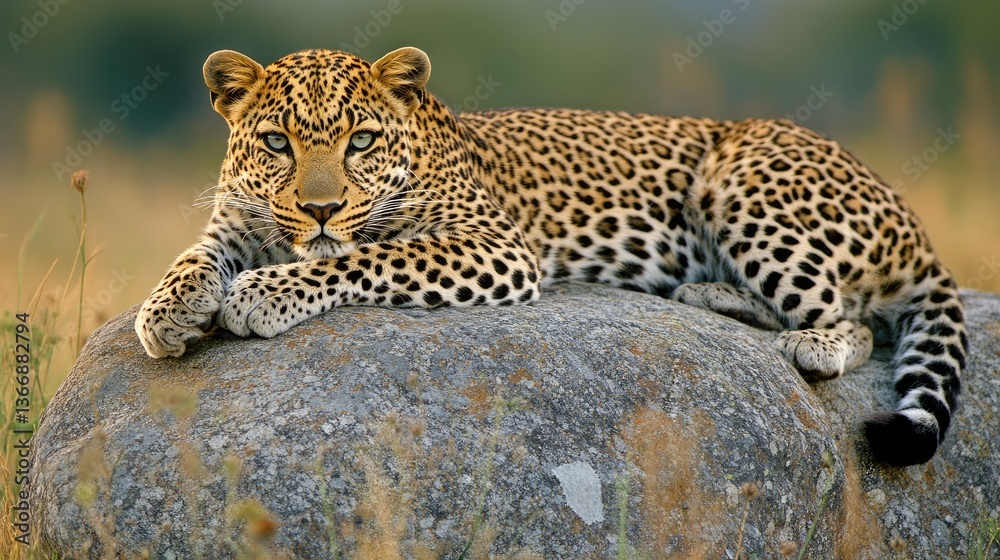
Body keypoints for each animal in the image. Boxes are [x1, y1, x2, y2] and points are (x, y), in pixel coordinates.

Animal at [135, 46, 967, 467]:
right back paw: (706, 293)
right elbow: (195, 254)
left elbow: (357, 258)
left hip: (743, 180)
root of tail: (913, 222)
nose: (318, 208)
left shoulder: (494, 247)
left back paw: (795, 337)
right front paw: (167, 312)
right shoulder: (239, 220)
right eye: (276, 142)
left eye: (361, 141)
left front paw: (263, 293)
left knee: (854, 324)